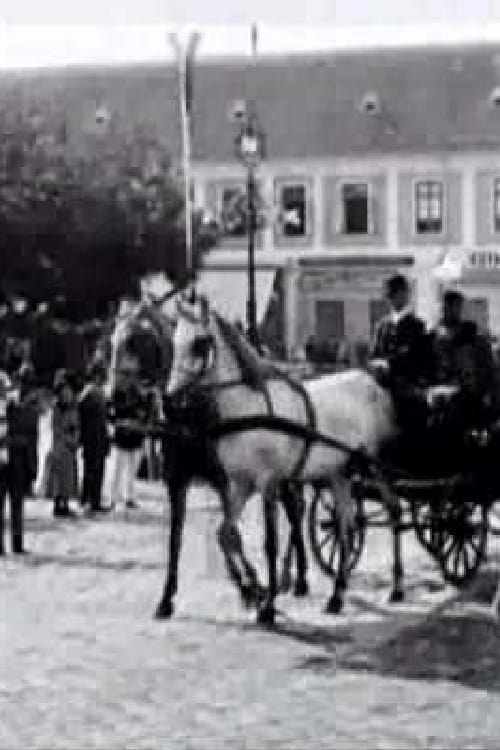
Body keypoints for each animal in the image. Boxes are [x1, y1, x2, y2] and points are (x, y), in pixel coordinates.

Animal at [160, 290, 398, 624]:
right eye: (174, 341)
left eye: (200, 343)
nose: (169, 399)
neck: (249, 409)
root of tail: (371, 380)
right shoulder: (238, 483)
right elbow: (225, 534)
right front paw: (254, 591)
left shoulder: (268, 483)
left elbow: (270, 543)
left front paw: (268, 605)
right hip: (339, 473)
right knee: (345, 526)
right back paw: (336, 595)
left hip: (377, 468)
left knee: (394, 511)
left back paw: (396, 588)